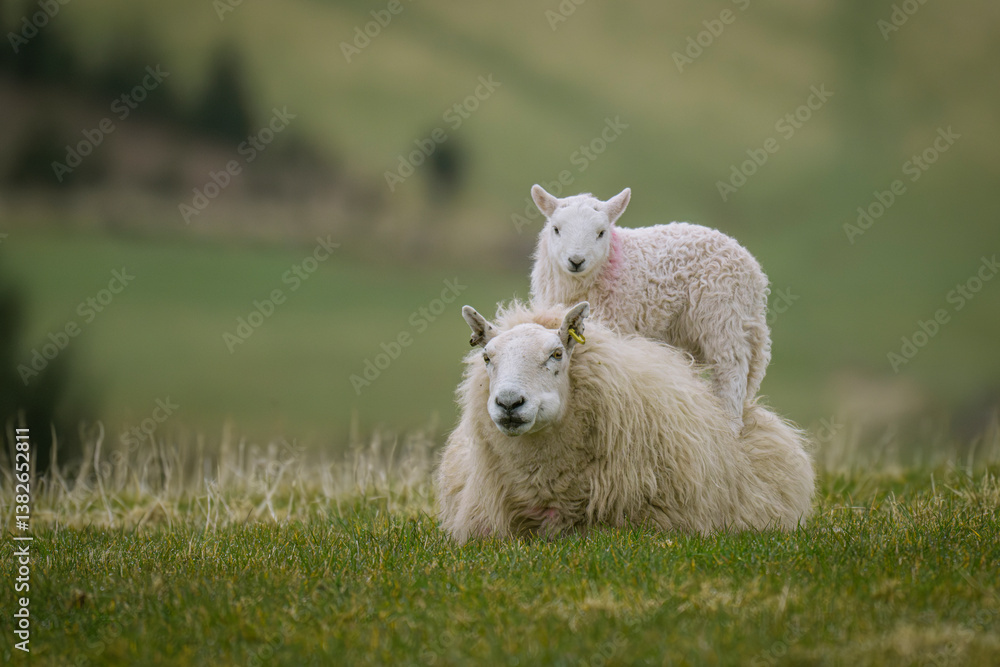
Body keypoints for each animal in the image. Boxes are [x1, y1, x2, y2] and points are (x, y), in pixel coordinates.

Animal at [528, 185, 771, 432]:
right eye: (556, 229)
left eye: (601, 233)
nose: (576, 261)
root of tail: (752, 268)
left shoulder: (616, 324)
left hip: (723, 315)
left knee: (731, 369)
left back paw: (729, 424)